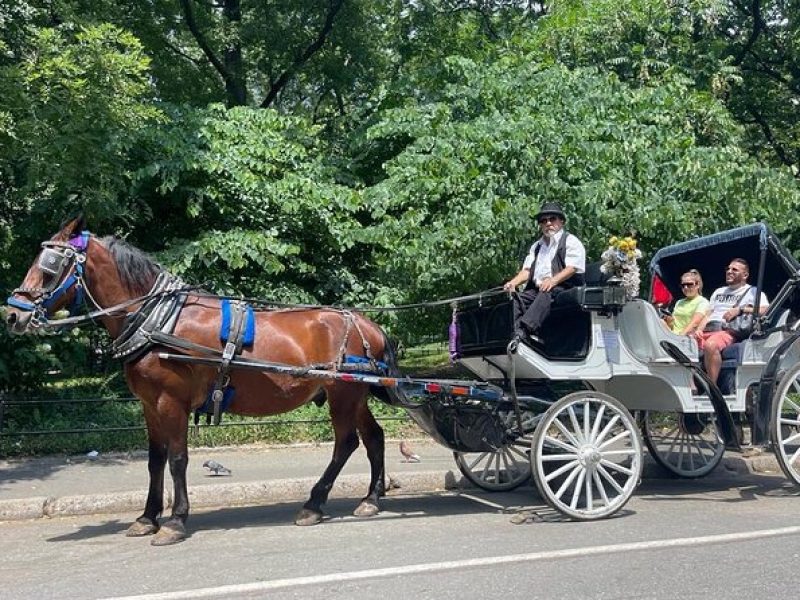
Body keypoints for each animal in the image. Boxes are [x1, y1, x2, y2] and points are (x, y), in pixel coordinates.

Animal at [4, 217, 396, 544]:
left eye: (50, 268)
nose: (12, 315)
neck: (157, 321)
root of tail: (369, 325)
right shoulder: (149, 405)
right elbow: (155, 460)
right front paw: (147, 517)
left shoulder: (171, 401)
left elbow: (177, 458)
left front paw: (175, 522)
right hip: (355, 395)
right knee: (374, 437)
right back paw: (371, 499)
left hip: (343, 394)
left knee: (346, 443)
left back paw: (314, 504)